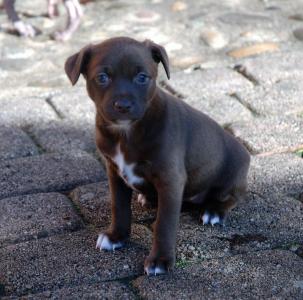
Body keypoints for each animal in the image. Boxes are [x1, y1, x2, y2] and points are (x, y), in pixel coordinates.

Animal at [65, 37, 251, 274]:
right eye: (102, 77)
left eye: (142, 77)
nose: (123, 106)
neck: (126, 132)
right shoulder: (114, 172)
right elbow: (119, 207)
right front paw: (116, 237)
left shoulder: (170, 180)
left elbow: (164, 224)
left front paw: (160, 260)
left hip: (233, 173)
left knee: (230, 198)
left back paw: (214, 211)